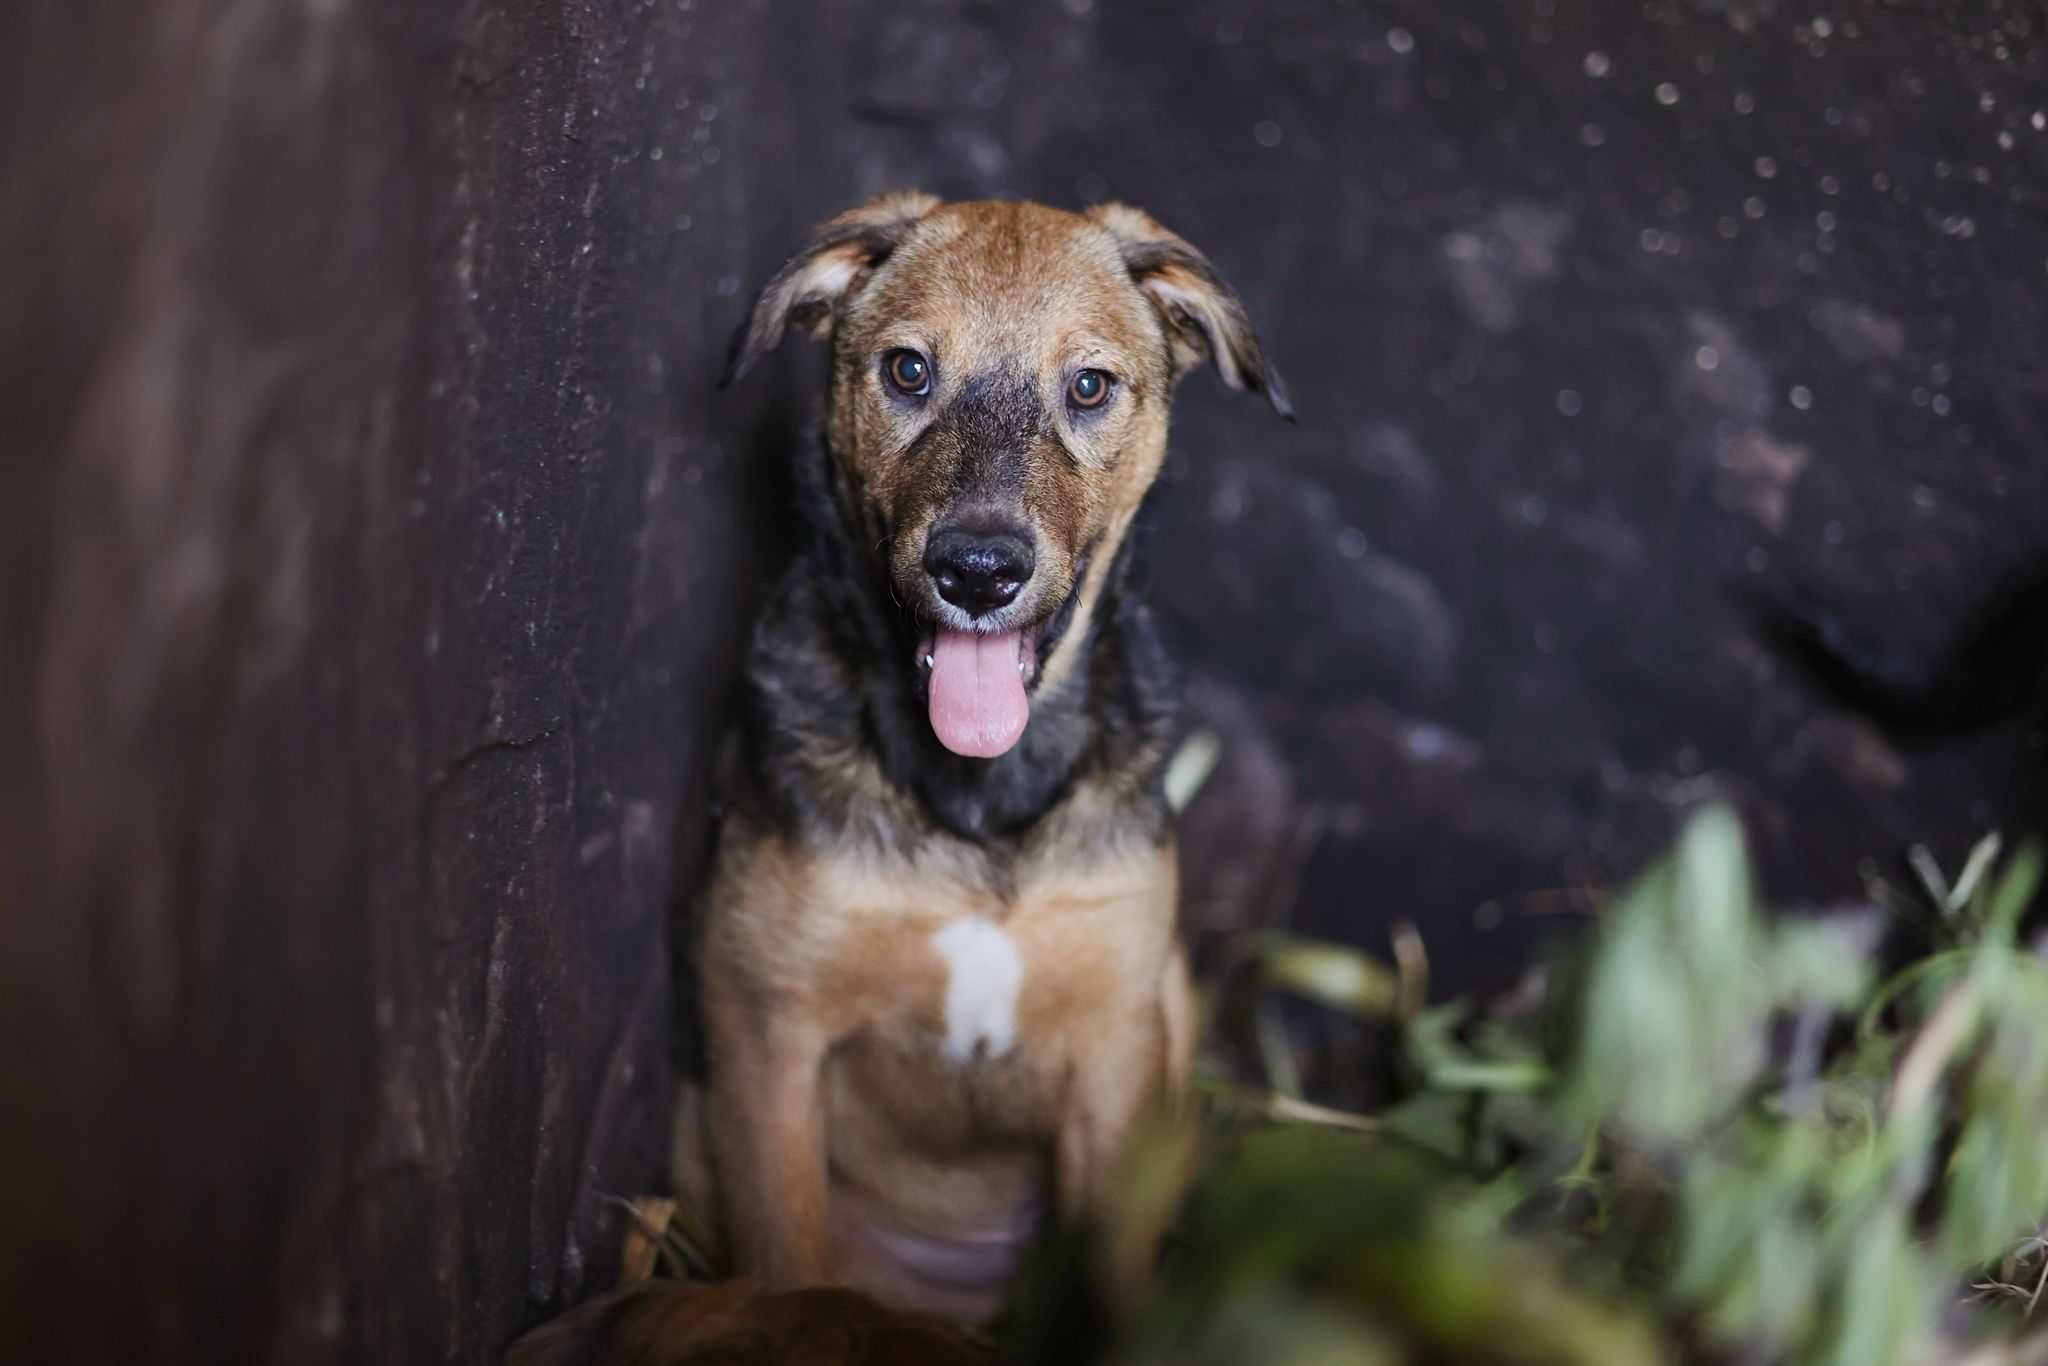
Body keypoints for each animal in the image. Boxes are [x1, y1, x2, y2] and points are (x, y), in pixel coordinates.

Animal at [679, 192, 1286, 1327]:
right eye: (908, 370)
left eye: (1088, 386)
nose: (975, 570)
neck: (976, 795)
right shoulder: (765, 1032)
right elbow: (784, 1253)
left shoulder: (1115, 1050)